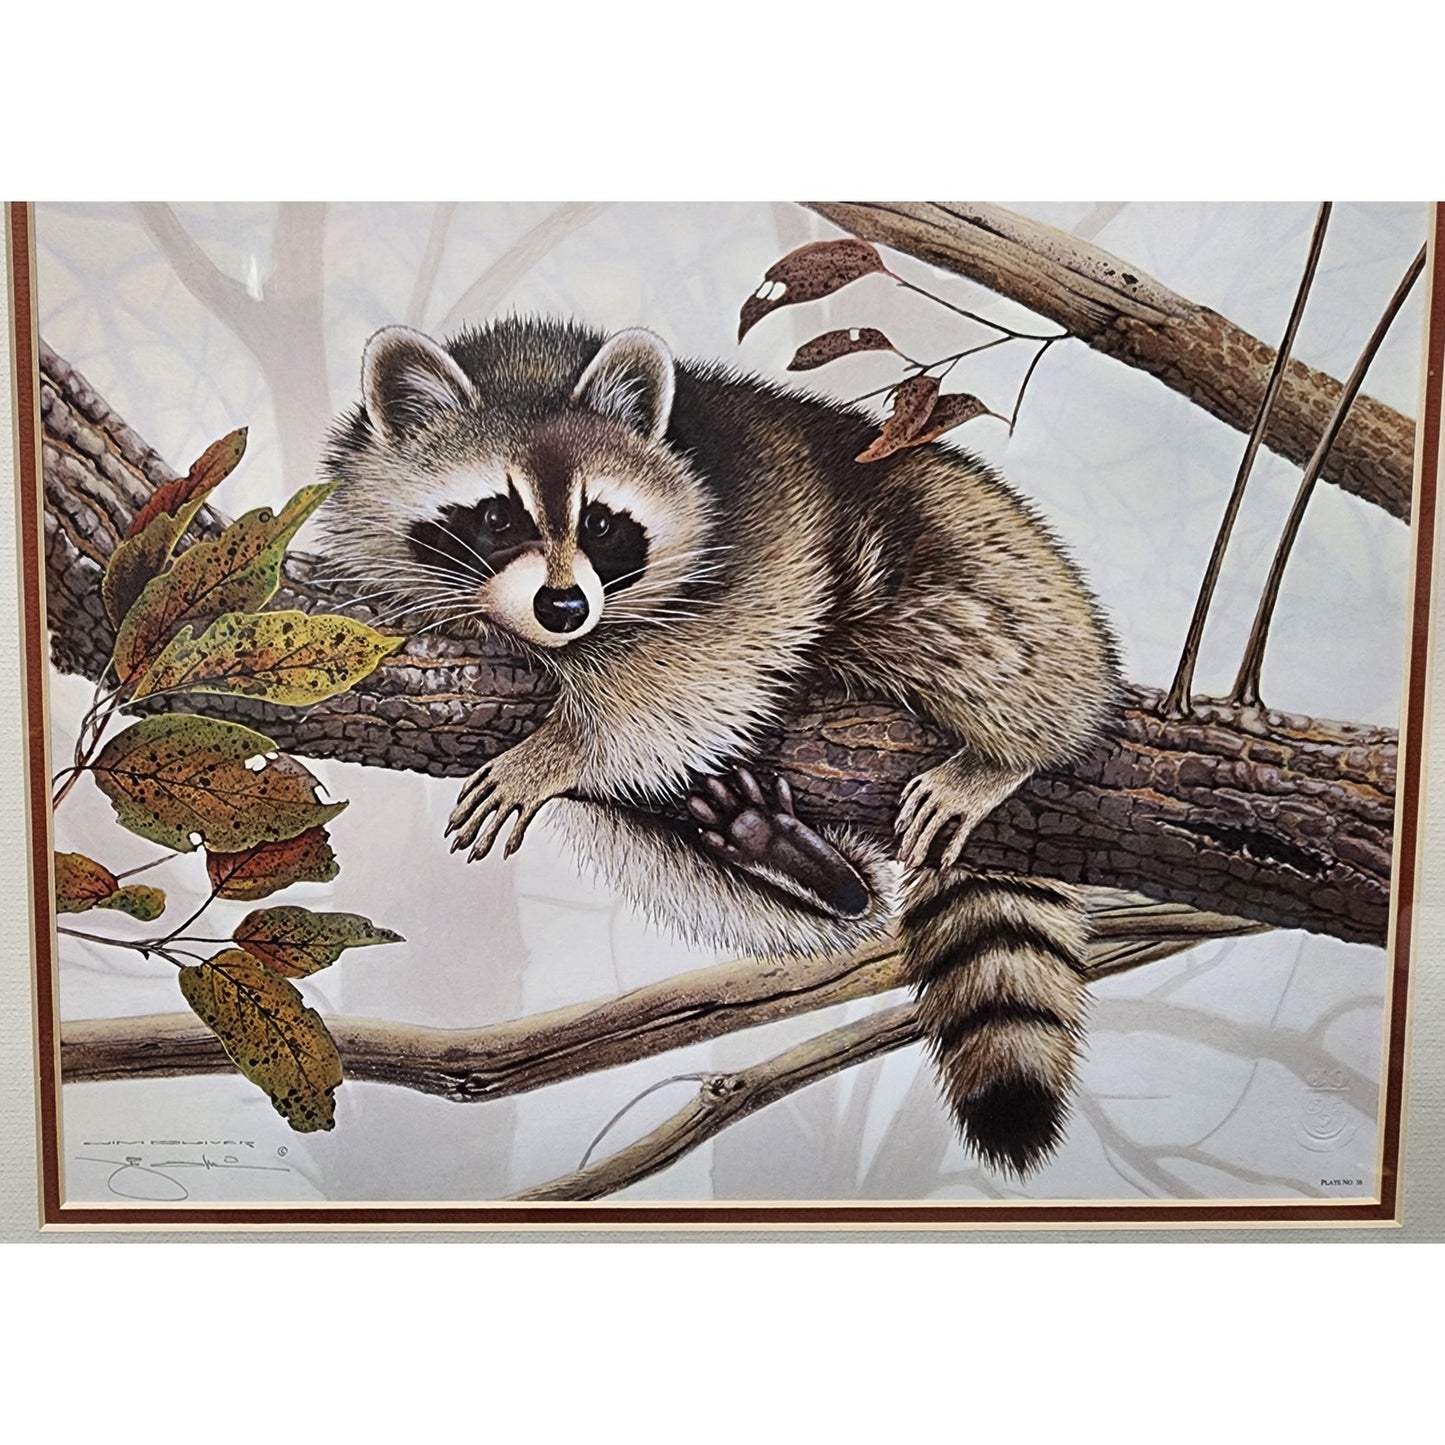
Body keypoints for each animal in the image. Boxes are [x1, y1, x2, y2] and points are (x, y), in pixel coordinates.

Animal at [318, 316, 1120, 1175]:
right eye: (497, 517)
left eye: (600, 522)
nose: (564, 608)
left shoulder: (765, 537)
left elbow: (702, 665)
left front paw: (558, 746)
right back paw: (803, 863)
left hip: (962, 542)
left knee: (976, 625)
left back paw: (1012, 747)